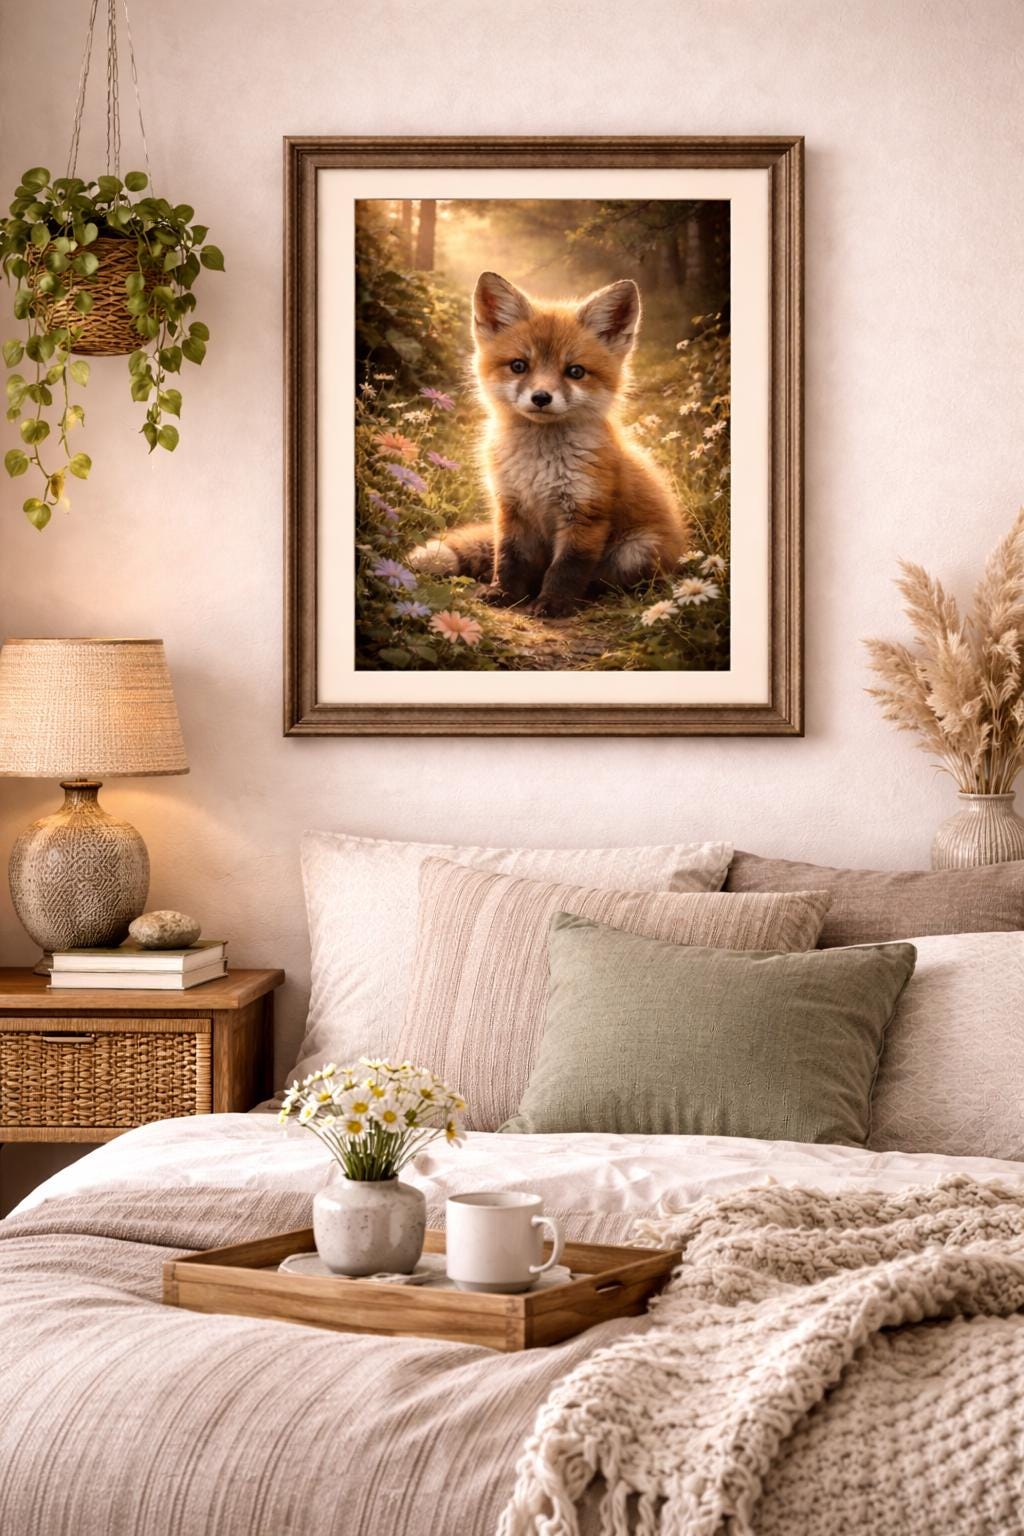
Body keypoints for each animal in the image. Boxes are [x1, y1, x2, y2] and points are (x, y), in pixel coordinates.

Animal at [409, 271, 688, 619]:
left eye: (575, 371)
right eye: (519, 366)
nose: (541, 397)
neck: (538, 466)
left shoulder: (584, 513)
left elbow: (566, 568)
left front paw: (554, 604)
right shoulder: (511, 507)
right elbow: (509, 558)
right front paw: (504, 593)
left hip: (636, 551)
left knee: (606, 577)